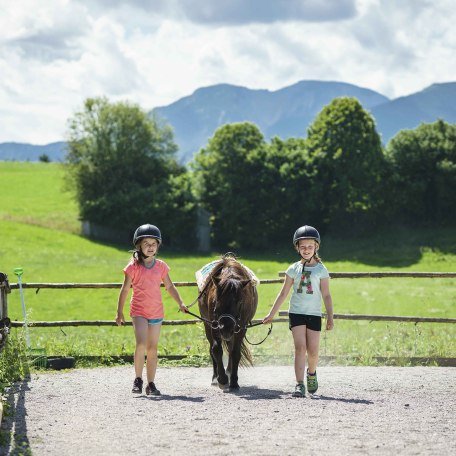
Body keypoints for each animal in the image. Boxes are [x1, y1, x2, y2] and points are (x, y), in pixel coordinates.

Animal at [198, 255, 258, 390]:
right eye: (216, 301)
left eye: (240, 302)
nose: (226, 328)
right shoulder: (214, 325)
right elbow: (216, 350)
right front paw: (222, 379)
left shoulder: (241, 328)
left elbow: (235, 352)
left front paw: (234, 381)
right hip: (210, 326)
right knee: (213, 349)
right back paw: (215, 378)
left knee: (231, 349)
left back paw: (230, 372)